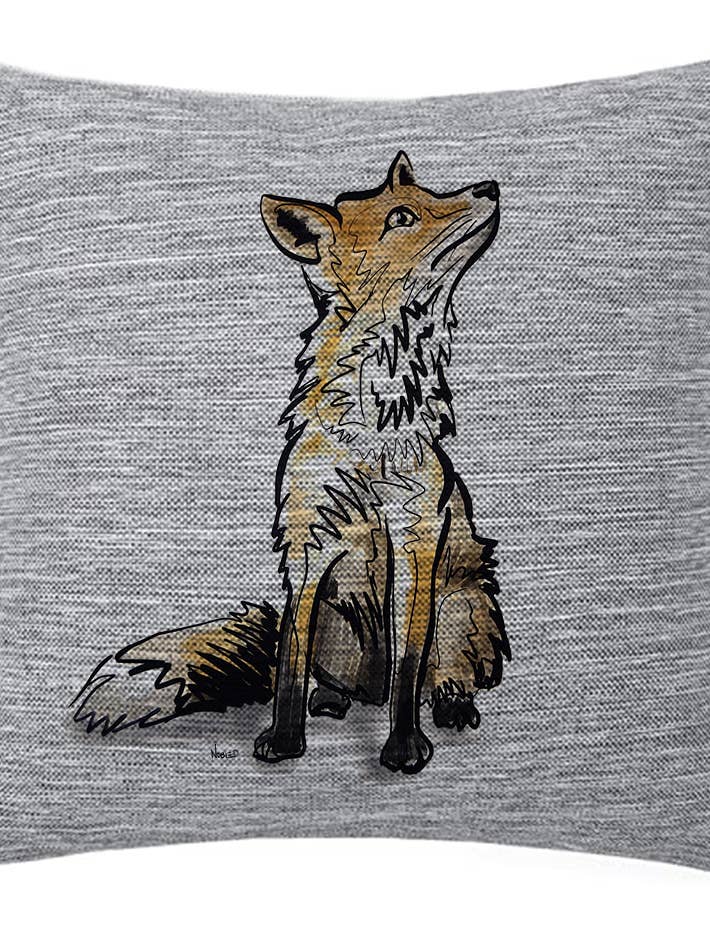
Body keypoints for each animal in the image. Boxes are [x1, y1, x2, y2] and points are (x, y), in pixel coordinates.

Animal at [72, 152, 510, 775]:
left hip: (463, 608)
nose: (490, 186)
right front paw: (283, 741)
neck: (369, 435)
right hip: (338, 620)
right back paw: (331, 699)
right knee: (331, 676)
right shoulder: (306, 549)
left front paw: (403, 748)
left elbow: (407, 666)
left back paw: (450, 705)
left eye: (431, 193)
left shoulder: (416, 543)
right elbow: (289, 663)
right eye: (403, 216)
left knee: (439, 676)